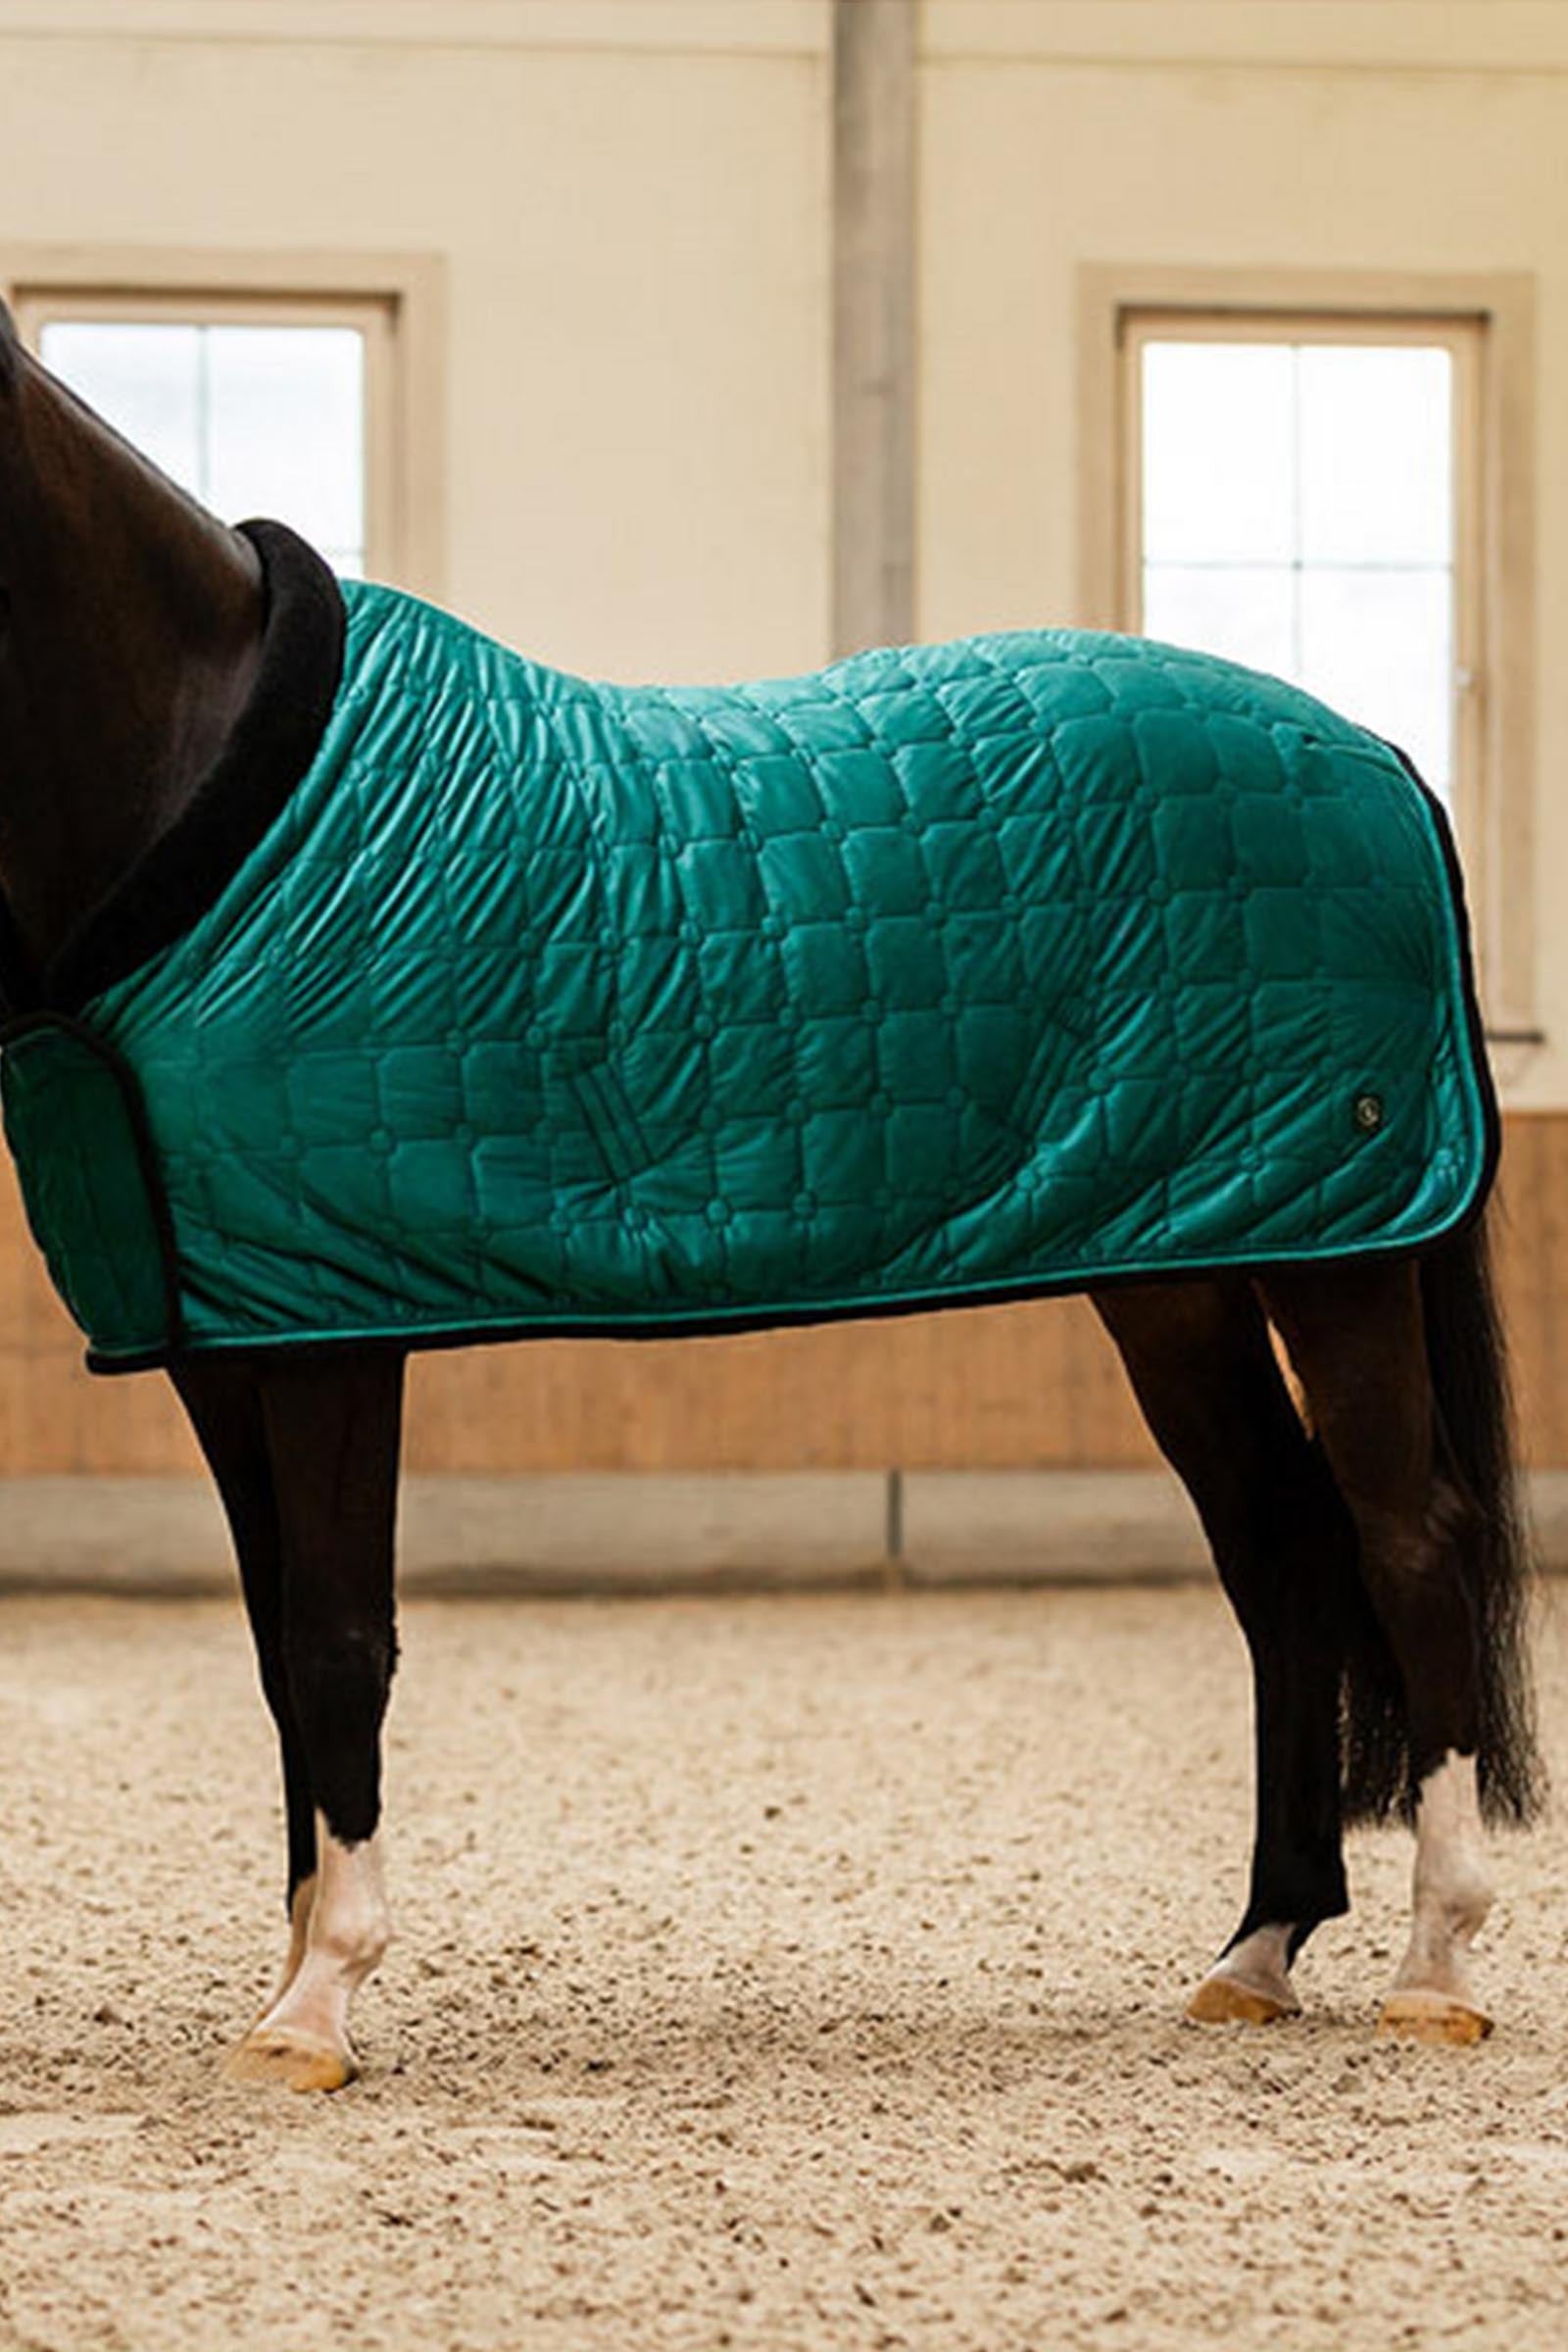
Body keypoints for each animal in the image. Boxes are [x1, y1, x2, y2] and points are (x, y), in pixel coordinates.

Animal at [0, 296, 1539, 2092]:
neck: (215, 799)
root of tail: (1376, 756)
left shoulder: (329, 1332)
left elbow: (335, 1638)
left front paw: (324, 1997)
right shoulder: (231, 1333)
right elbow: (274, 1655)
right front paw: (298, 1964)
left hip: (1337, 1250)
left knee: (1408, 1537)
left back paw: (1436, 1963)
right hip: (1185, 1266)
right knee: (1284, 1557)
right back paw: (1260, 1949)